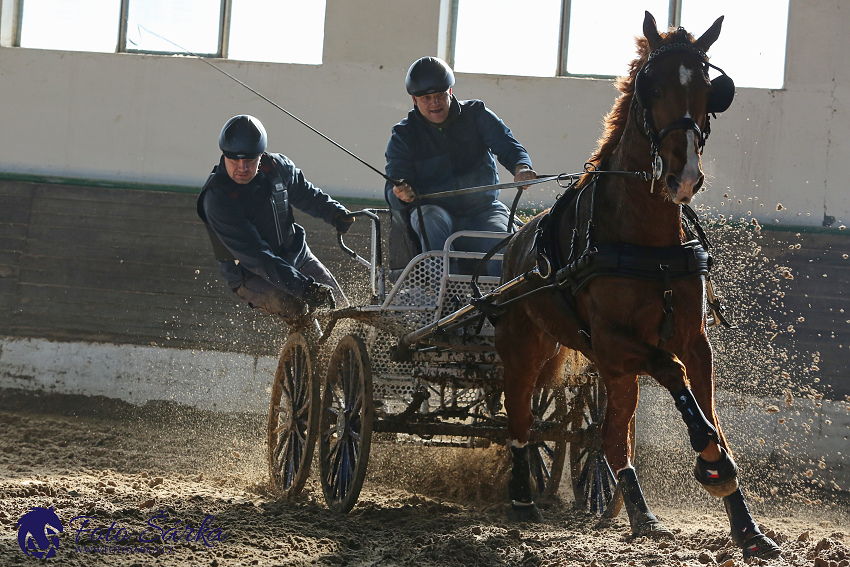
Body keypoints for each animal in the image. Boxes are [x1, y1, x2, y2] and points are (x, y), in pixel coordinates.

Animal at [494, 12, 780, 560]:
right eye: (653, 86)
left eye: (709, 90)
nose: (683, 175)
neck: (647, 239)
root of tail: (516, 244)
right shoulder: (616, 341)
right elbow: (675, 377)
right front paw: (712, 466)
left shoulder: (693, 340)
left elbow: (708, 412)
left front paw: (746, 525)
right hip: (528, 351)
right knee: (518, 420)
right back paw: (520, 498)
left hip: (612, 372)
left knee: (610, 439)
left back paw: (641, 515)